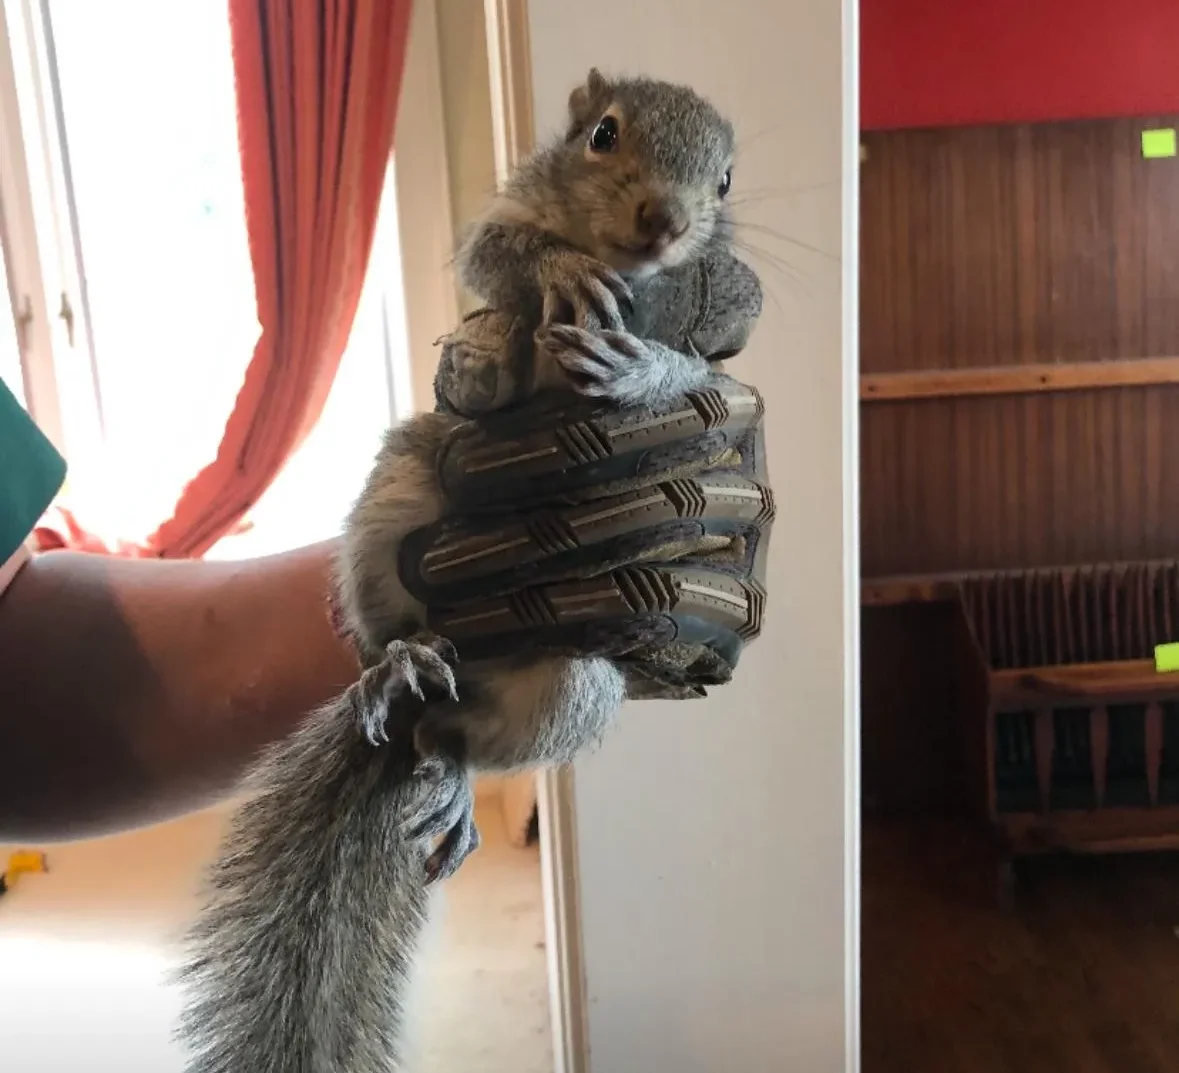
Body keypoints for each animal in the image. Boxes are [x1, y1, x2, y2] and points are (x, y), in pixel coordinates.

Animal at [176, 68, 754, 1073]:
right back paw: (394, 662)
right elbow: (496, 254)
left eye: (723, 181)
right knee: (389, 625)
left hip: (565, 688)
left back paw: (447, 767)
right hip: (396, 502)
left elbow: (693, 377)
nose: (664, 223)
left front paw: (642, 372)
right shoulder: (499, 234)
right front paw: (556, 269)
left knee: (465, 737)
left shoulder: (714, 368)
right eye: (602, 135)